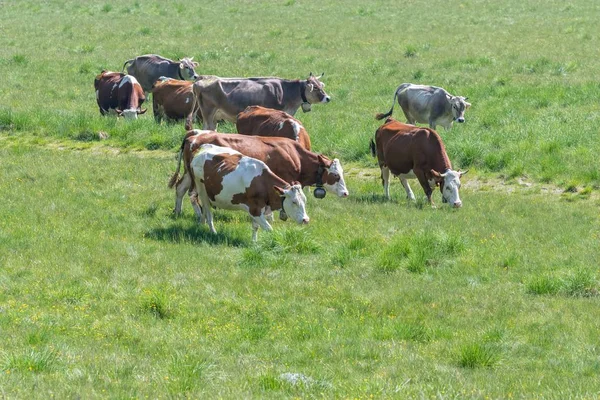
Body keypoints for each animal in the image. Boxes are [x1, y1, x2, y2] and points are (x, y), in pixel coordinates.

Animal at [166, 130, 350, 219]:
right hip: (196, 180)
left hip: (188, 174)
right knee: (192, 194)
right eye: (336, 175)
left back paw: (178, 212)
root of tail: (194, 135)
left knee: (180, 188)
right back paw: (199, 215)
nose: (346, 193)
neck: (294, 154)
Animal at [186, 73, 330, 131]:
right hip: (208, 114)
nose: (328, 98)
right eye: (315, 87)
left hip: (214, 116)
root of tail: (202, 78)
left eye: (321, 85)